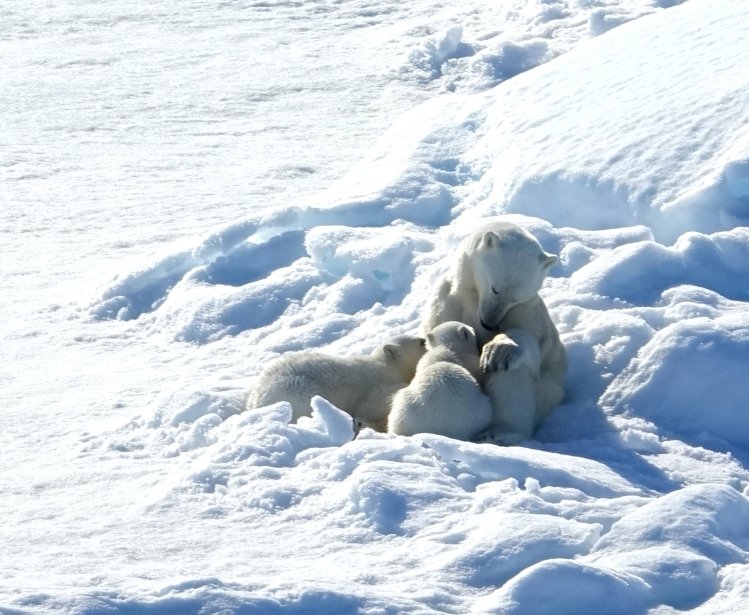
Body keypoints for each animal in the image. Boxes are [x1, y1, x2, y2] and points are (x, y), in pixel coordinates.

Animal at [248, 334, 426, 430]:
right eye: (421, 342)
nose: (425, 338)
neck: (387, 366)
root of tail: (256, 402)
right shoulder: (372, 386)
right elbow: (375, 402)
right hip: (298, 389)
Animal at [424, 221, 564, 442]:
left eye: (515, 298)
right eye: (495, 288)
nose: (489, 324)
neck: (473, 298)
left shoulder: (527, 309)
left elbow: (530, 341)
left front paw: (498, 350)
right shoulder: (447, 299)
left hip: (547, 391)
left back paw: (500, 432)